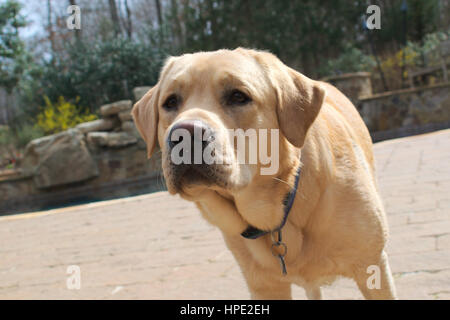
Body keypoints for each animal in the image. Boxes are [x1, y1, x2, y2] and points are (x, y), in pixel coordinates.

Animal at [131, 48, 398, 300]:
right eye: (170, 102)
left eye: (238, 96)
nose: (184, 134)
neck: (280, 207)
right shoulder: (264, 287)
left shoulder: (372, 267)